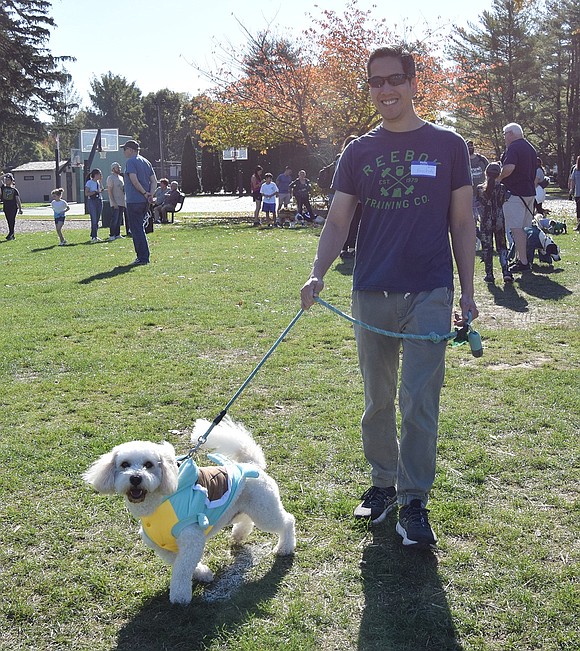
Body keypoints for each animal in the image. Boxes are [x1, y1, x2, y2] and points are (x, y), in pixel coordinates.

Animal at [82, 418, 294, 608]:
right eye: (124, 464)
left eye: (149, 464)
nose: (135, 478)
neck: (156, 504)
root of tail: (252, 464)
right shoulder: (162, 545)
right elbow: (180, 563)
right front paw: (203, 573)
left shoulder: (192, 537)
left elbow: (181, 569)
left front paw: (180, 596)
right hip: (244, 506)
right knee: (246, 520)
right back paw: (239, 535)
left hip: (264, 510)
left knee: (288, 520)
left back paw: (285, 547)